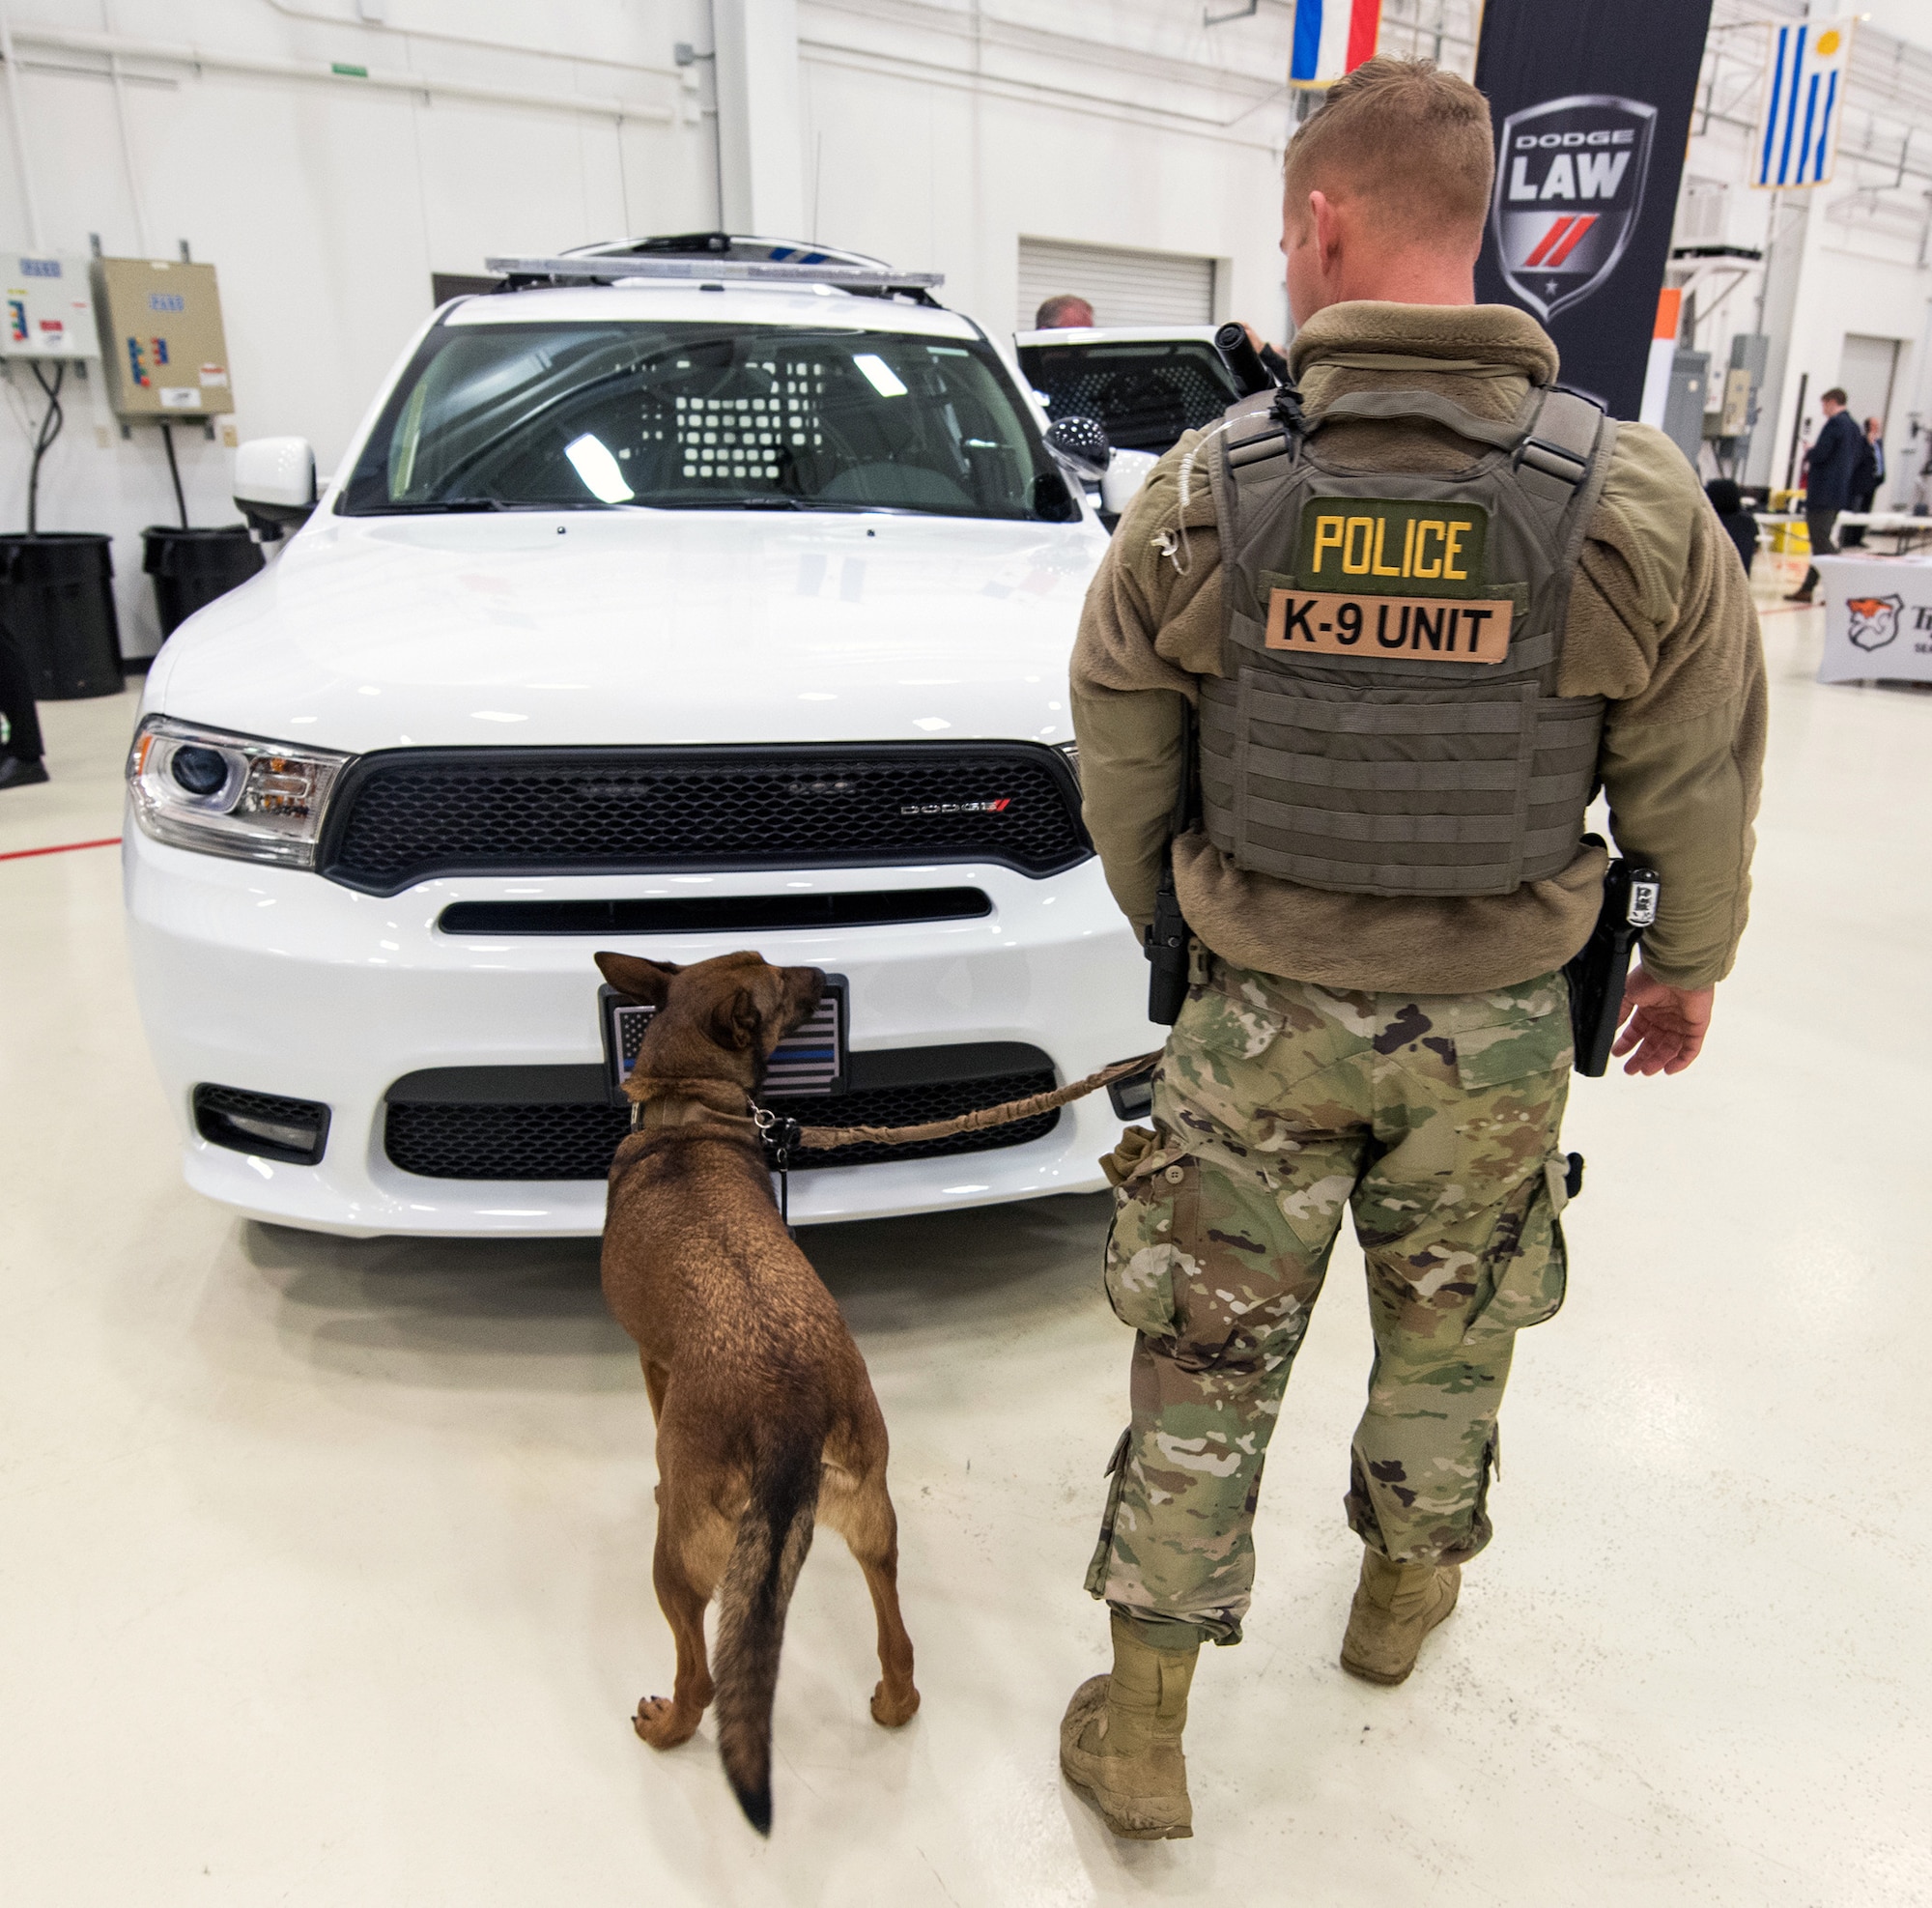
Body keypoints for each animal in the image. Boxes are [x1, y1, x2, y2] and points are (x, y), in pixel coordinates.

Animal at [591, 954, 916, 1831]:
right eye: (776, 975)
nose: (825, 967)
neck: (687, 1115)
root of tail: (789, 1412)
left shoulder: (651, 1361)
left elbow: (652, 1428)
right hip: (875, 1521)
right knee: (899, 1646)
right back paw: (891, 1701)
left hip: (677, 1564)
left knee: (700, 1678)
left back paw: (665, 1723)